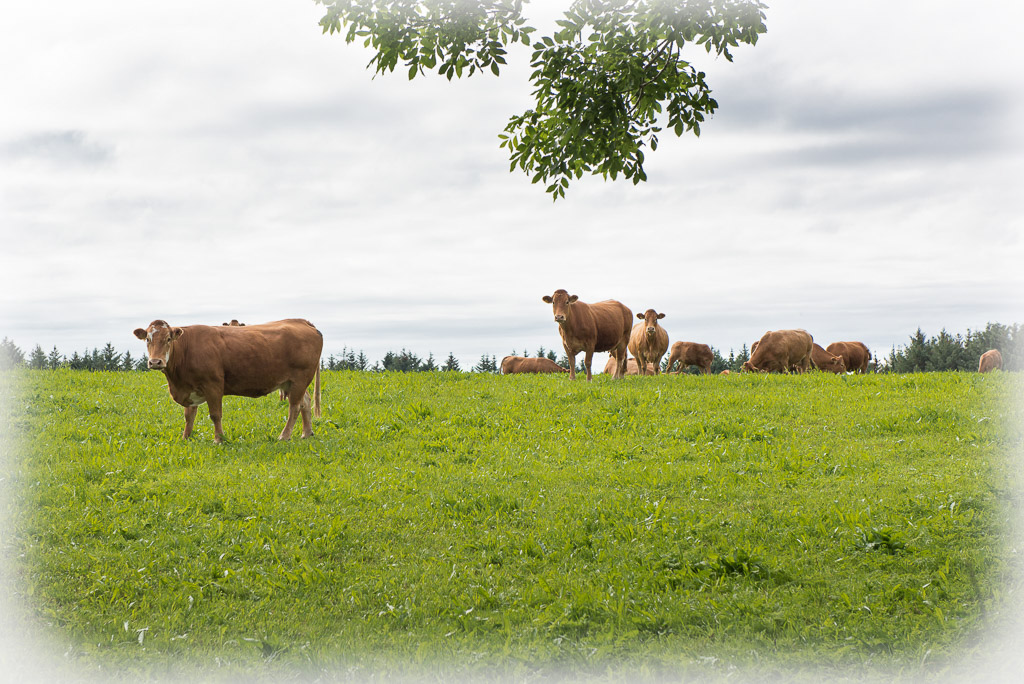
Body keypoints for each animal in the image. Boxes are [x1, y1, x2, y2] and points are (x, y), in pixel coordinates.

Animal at [134, 317, 321, 444]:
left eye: (168, 339)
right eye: (148, 339)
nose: (155, 362)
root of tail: (302, 322)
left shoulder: (213, 385)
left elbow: (215, 415)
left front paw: (219, 439)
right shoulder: (190, 388)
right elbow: (189, 416)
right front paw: (185, 437)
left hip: (300, 378)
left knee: (294, 407)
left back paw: (284, 435)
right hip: (291, 382)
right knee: (305, 402)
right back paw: (307, 433)